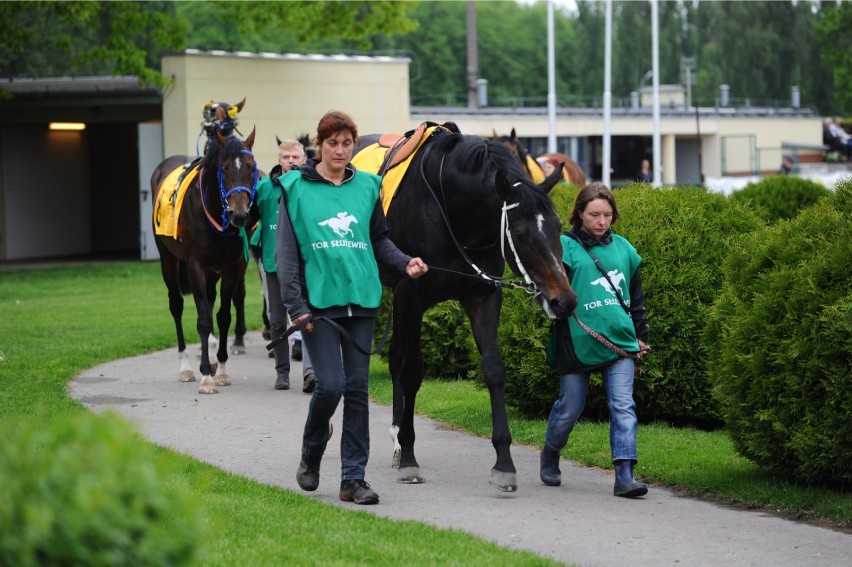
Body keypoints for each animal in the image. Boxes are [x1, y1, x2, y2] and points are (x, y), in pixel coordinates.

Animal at [378, 130, 580, 492]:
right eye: (519, 234)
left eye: (558, 226)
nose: (564, 300)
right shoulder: (410, 296)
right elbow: (413, 372)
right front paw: (411, 458)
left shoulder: (482, 294)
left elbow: (494, 369)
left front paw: (504, 463)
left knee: (395, 357)